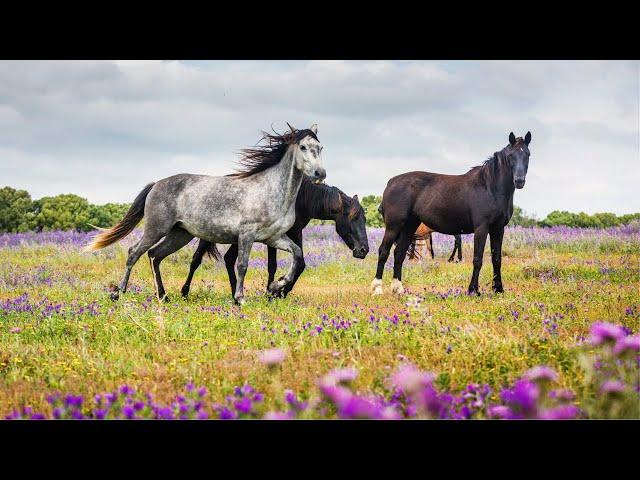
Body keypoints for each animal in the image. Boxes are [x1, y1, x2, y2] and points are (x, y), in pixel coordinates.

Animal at [85, 124, 324, 304]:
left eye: (320, 147)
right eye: (303, 146)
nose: (320, 173)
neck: (272, 190)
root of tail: (156, 184)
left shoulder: (273, 238)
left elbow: (297, 255)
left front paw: (277, 285)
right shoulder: (246, 235)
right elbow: (242, 265)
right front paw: (240, 298)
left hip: (180, 234)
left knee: (155, 255)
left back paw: (163, 296)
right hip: (156, 229)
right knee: (134, 252)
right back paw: (119, 293)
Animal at [181, 176, 370, 296]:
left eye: (365, 219)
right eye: (353, 217)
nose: (364, 250)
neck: (300, 199)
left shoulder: (295, 232)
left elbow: (300, 263)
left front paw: (280, 291)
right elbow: (273, 265)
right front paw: (272, 291)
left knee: (228, 259)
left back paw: (235, 292)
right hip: (208, 236)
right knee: (196, 259)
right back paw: (184, 292)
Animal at [370, 132, 528, 296]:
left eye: (527, 154)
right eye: (511, 155)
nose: (519, 181)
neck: (489, 187)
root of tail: (391, 182)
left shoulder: (498, 229)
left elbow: (497, 259)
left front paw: (498, 289)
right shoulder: (481, 229)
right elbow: (477, 259)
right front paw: (473, 290)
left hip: (409, 227)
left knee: (399, 253)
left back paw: (398, 288)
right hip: (394, 226)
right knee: (384, 251)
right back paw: (377, 288)